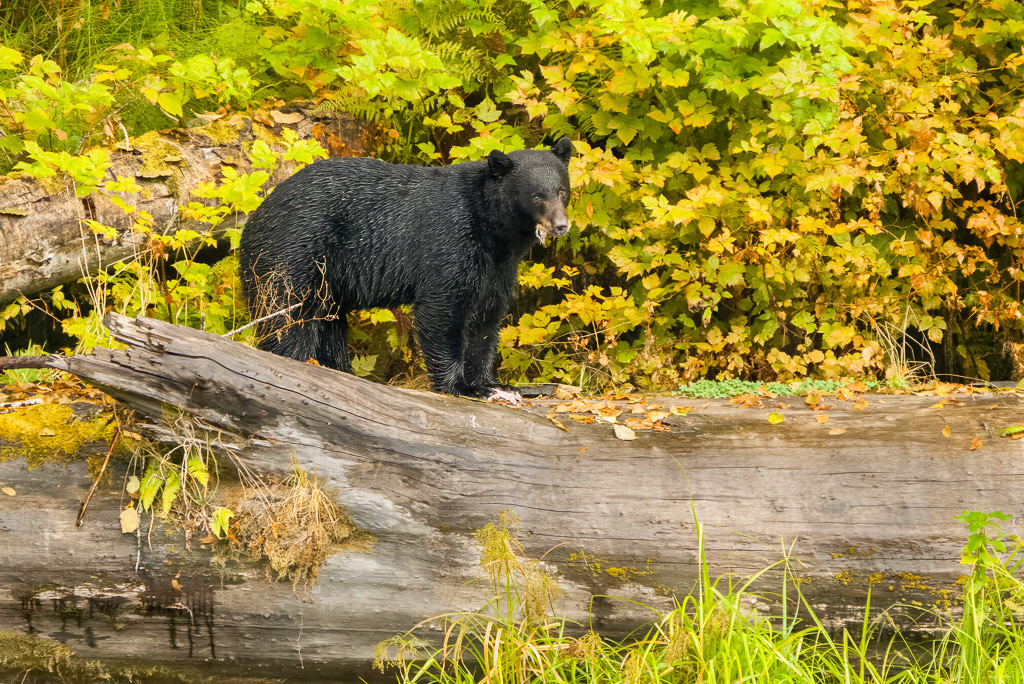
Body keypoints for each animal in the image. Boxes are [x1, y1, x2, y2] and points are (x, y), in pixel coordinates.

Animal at [238, 137, 573, 401]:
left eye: (561, 190)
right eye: (536, 195)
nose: (561, 225)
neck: (492, 228)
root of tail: (254, 220)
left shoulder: (497, 267)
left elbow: (487, 318)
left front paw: (491, 383)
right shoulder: (450, 241)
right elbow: (442, 310)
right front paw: (460, 386)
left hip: (325, 283)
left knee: (328, 325)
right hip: (294, 254)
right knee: (287, 318)